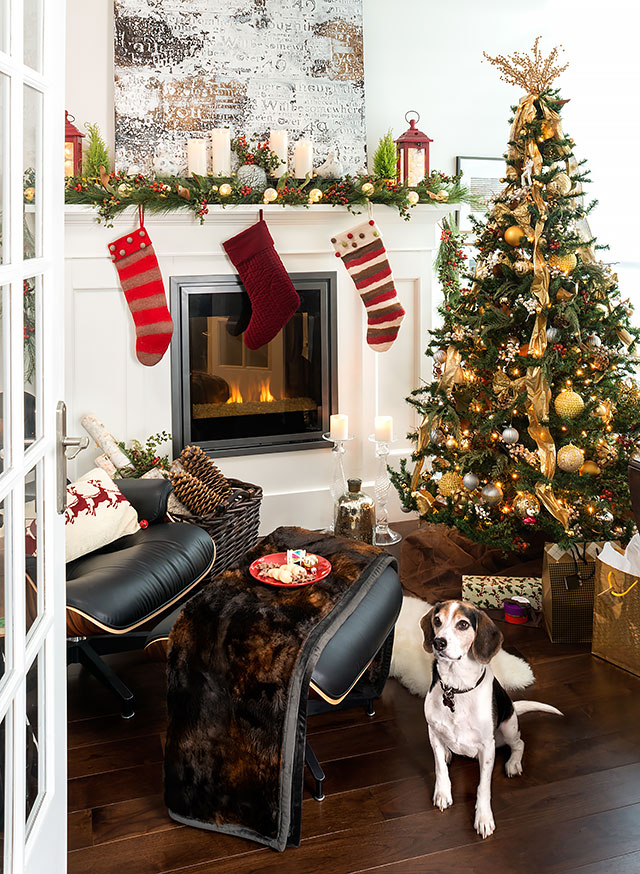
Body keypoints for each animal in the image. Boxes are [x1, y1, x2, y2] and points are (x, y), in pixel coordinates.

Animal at [420, 596, 560, 836]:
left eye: (463, 624)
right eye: (437, 620)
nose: (438, 643)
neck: (456, 688)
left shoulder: (487, 748)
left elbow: (483, 787)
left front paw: (483, 817)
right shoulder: (433, 730)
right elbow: (440, 768)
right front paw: (443, 793)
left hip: (508, 727)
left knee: (519, 744)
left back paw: (513, 763)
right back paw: (448, 752)